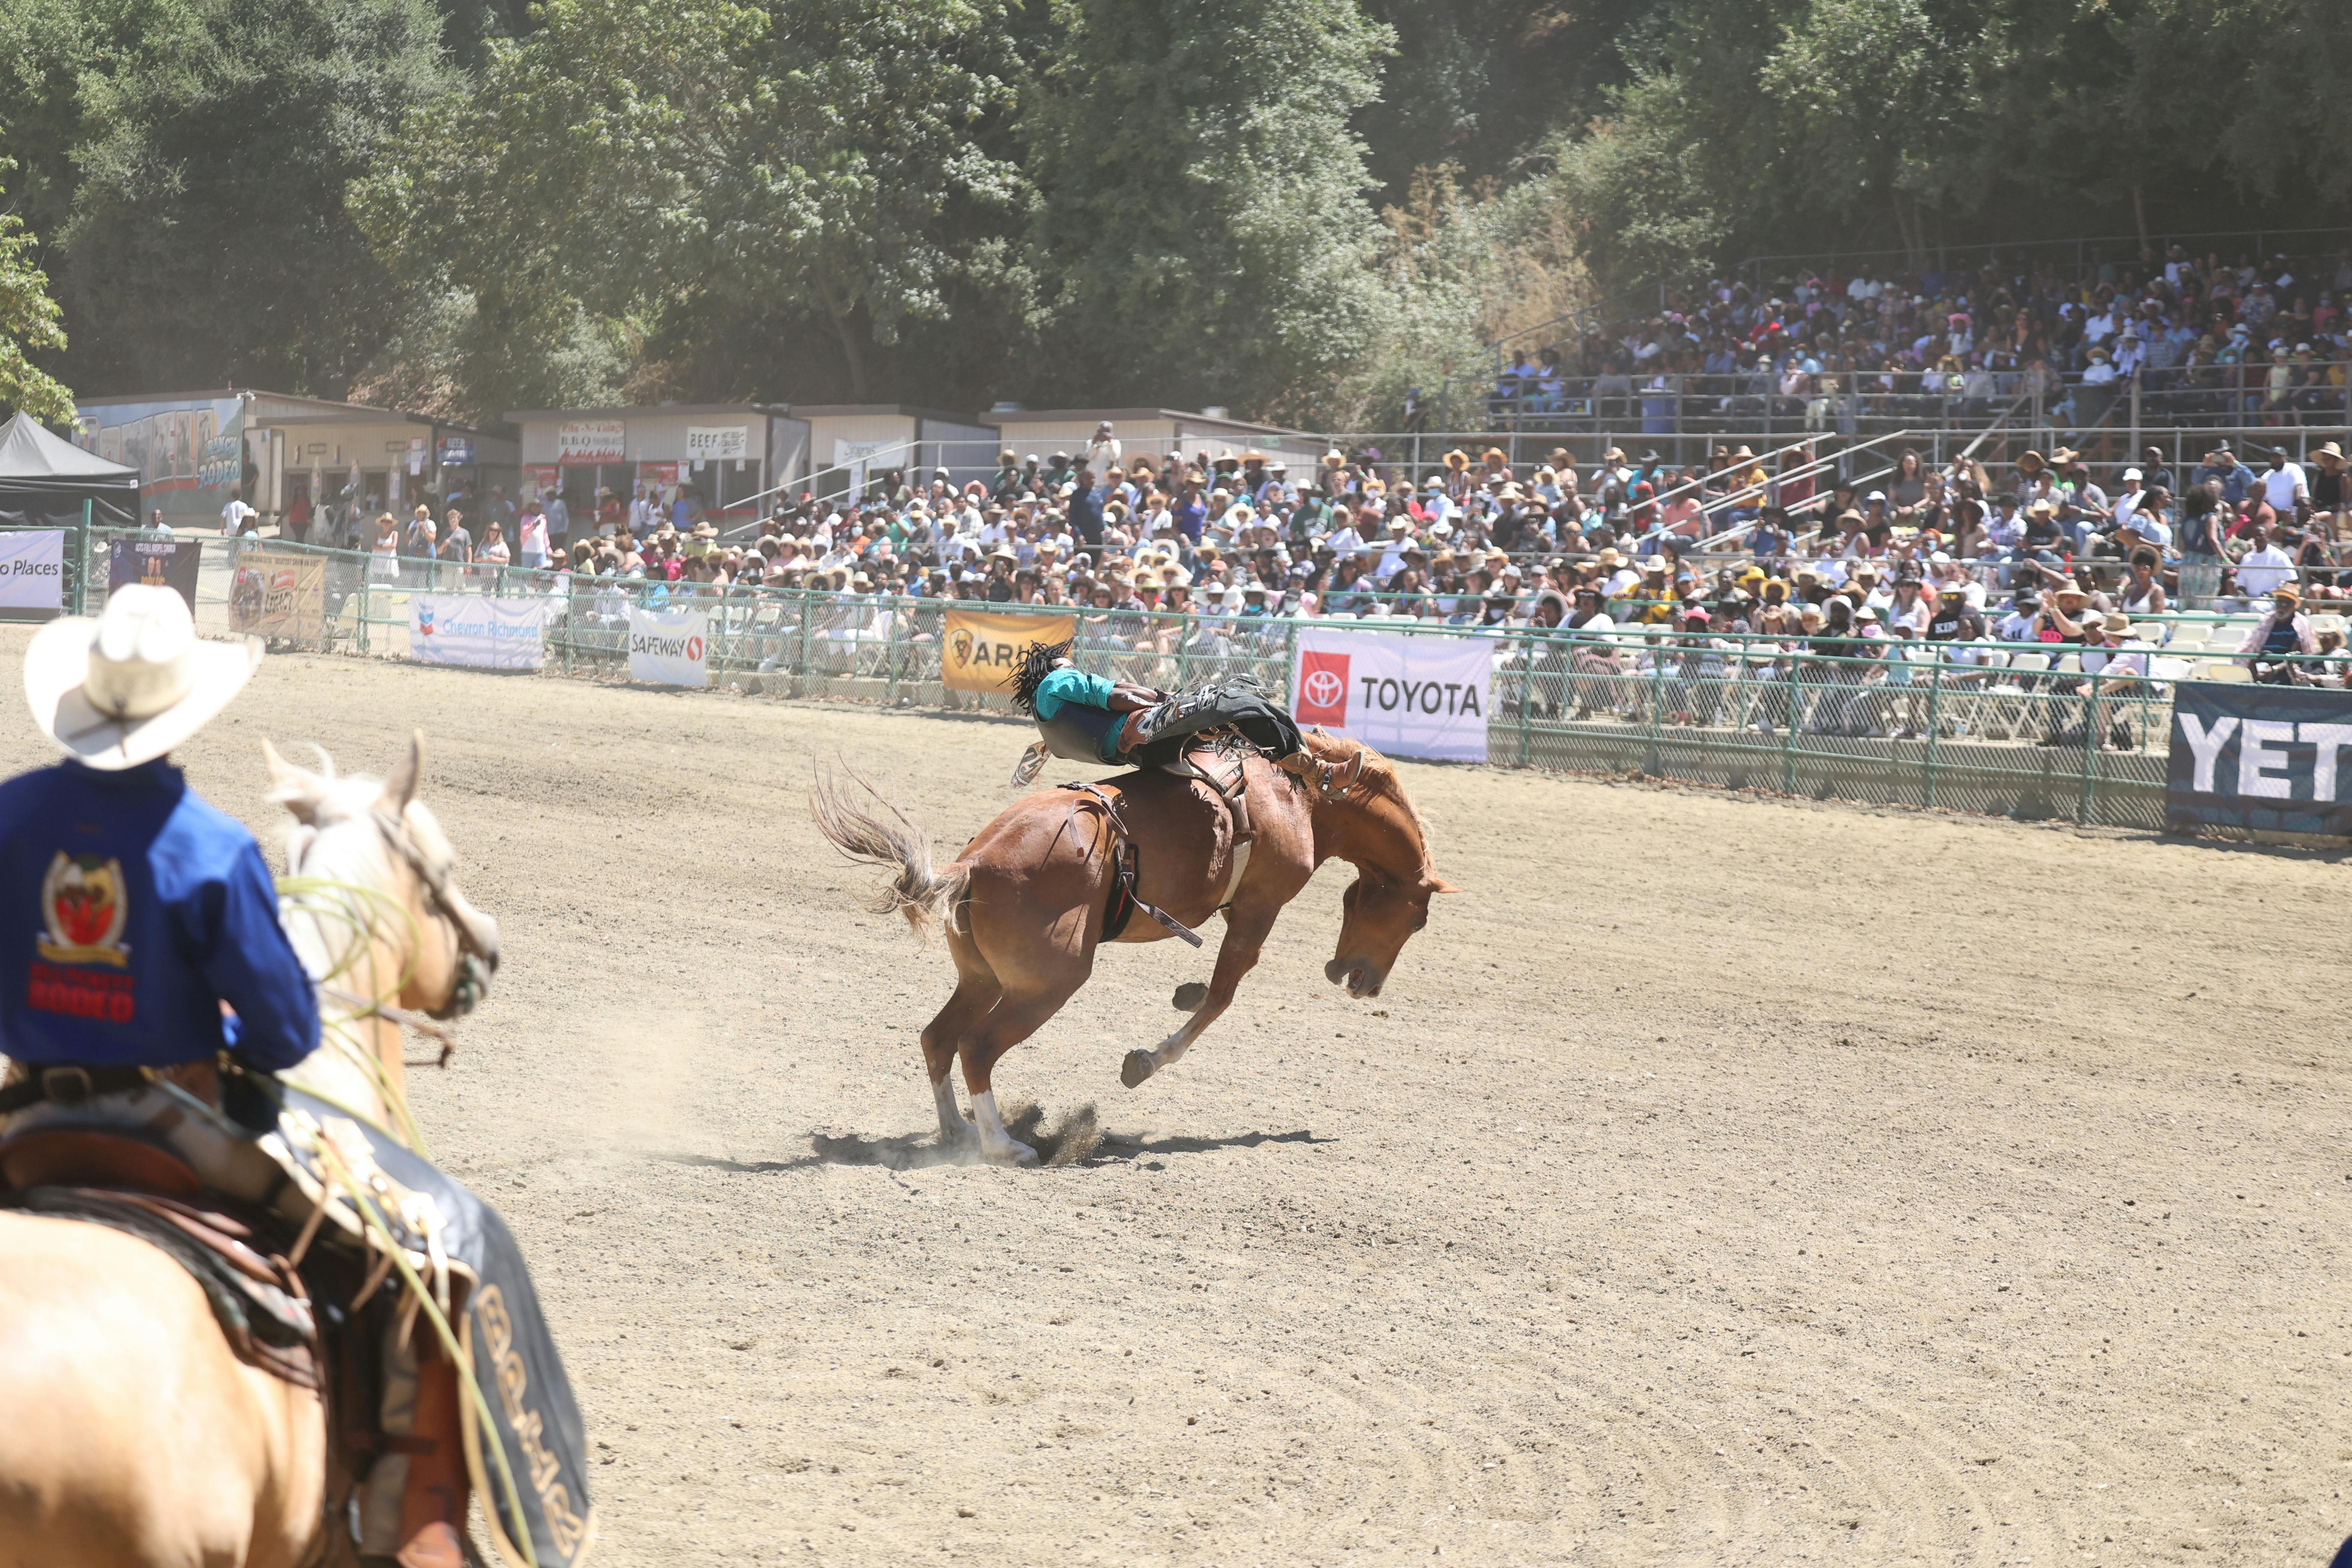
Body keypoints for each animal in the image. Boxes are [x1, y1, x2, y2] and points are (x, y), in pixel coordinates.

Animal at [818, 729, 1458, 1166]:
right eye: (1418, 920)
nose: (1362, 983)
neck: (1301, 796)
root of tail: (970, 864)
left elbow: (1212, 993)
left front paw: (1183, 996)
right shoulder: (1259, 909)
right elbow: (1221, 996)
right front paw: (1145, 1062)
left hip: (984, 979)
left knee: (939, 1038)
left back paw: (957, 1131)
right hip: (1047, 985)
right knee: (976, 1046)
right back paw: (1003, 1147)